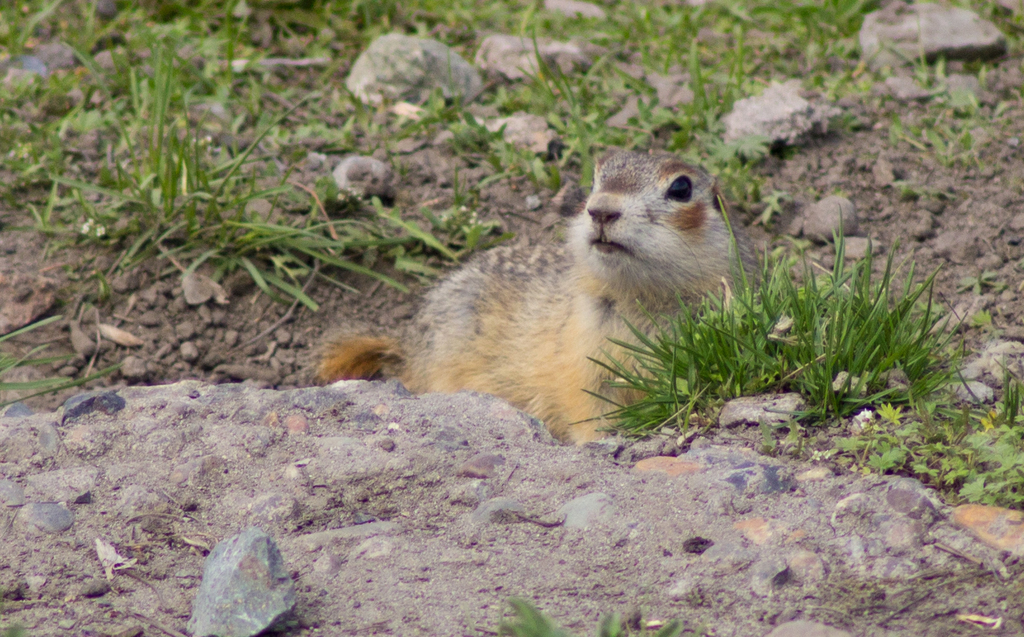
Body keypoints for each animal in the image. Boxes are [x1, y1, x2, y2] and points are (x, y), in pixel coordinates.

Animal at [317, 149, 757, 444]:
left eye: (681, 187)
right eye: (595, 180)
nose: (601, 210)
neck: (642, 297)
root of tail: (405, 343)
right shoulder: (585, 358)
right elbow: (589, 407)